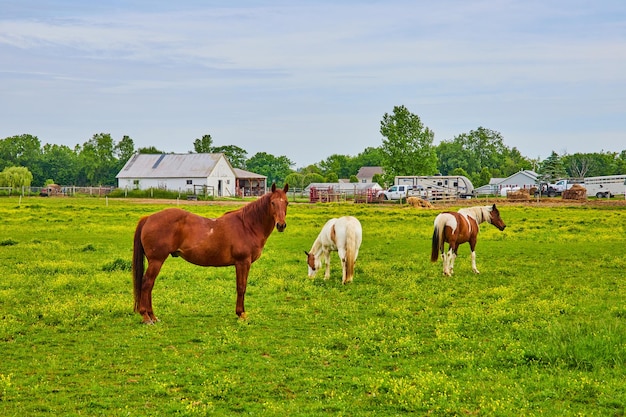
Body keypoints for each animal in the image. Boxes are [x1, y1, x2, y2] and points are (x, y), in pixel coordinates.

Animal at [133, 182, 288, 322]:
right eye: (273, 203)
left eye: (286, 203)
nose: (281, 225)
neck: (247, 225)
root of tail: (148, 218)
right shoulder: (243, 262)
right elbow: (241, 287)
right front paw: (241, 314)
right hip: (157, 260)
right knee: (147, 283)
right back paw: (146, 317)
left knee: (150, 285)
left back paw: (153, 316)